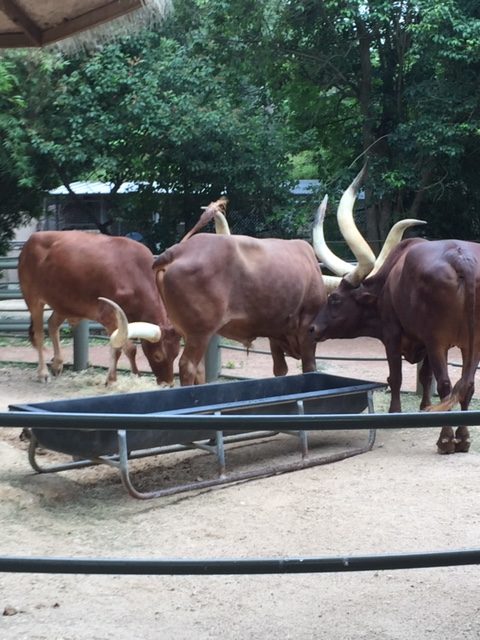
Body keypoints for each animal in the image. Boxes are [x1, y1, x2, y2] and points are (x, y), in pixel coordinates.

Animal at [17, 234, 180, 384]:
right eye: (157, 356)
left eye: (176, 354)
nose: (168, 384)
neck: (134, 274)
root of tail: (32, 238)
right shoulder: (110, 318)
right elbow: (124, 348)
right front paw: (113, 379)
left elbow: (128, 349)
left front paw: (133, 375)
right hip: (33, 300)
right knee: (39, 335)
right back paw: (43, 373)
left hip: (64, 304)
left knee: (52, 325)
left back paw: (57, 364)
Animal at [310, 170, 478, 452]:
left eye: (334, 299)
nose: (312, 328)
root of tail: (462, 259)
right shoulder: (424, 342)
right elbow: (425, 376)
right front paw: (424, 409)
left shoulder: (392, 334)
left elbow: (396, 376)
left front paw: (395, 414)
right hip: (471, 343)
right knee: (466, 385)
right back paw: (463, 437)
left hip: (439, 341)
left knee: (447, 384)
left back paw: (446, 439)